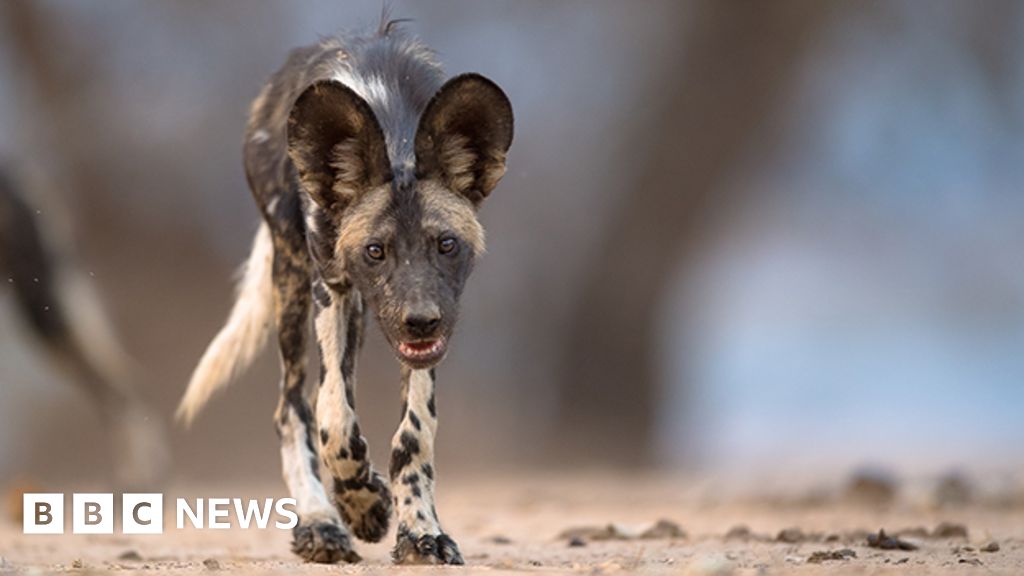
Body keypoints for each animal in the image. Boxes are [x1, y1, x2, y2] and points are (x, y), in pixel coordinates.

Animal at [178, 20, 512, 561]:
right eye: (375, 251)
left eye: (446, 245)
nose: (420, 320)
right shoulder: (330, 288)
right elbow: (333, 420)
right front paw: (362, 504)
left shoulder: (429, 333)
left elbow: (414, 434)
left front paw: (421, 532)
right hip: (293, 281)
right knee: (293, 407)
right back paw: (320, 521)